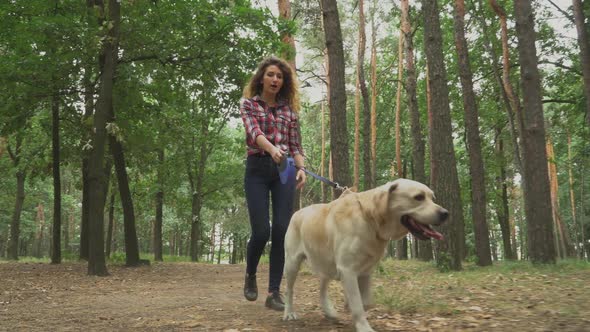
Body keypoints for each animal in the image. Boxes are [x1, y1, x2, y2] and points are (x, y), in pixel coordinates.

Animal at [284, 179, 450, 332]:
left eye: (432, 197)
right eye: (419, 197)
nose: (445, 214)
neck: (370, 219)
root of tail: (297, 212)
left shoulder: (366, 271)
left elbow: (365, 302)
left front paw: (350, 307)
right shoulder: (347, 270)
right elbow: (358, 303)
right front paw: (364, 327)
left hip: (326, 263)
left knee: (322, 287)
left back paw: (329, 311)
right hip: (292, 263)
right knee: (289, 290)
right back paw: (289, 312)